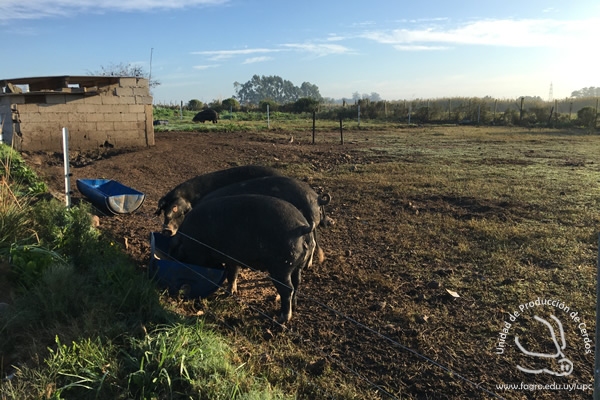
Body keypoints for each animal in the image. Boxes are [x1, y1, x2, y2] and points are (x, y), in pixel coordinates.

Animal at [169, 194, 315, 323]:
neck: (187, 240)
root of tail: (302, 227)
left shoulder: (201, 254)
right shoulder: (232, 259)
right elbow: (232, 275)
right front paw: (229, 293)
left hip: (281, 266)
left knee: (287, 289)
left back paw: (282, 319)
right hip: (297, 265)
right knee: (297, 283)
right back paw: (294, 306)